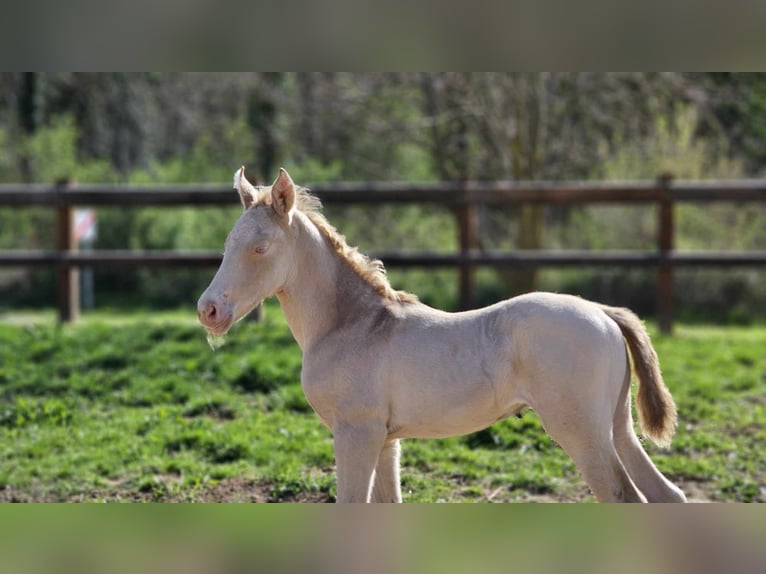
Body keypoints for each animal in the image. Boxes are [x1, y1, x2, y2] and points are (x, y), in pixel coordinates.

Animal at [198, 166, 688, 504]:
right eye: (226, 245)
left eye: (260, 247)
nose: (209, 310)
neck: (351, 324)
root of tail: (603, 313)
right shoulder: (385, 439)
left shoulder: (355, 432)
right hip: (617, 426)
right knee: (666, 494)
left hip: (581, 431)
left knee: (623, 496)